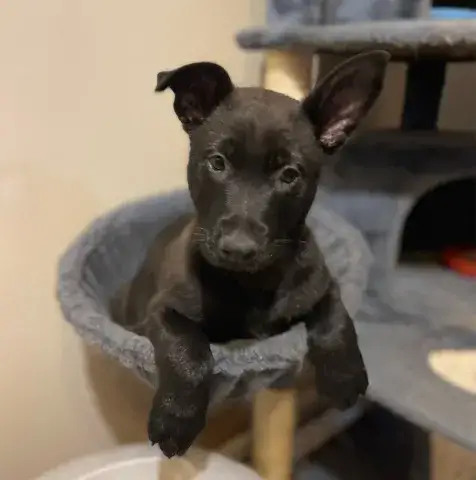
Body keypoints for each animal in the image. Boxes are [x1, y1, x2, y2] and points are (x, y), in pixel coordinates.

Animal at [110, 50, 389, 458]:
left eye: (290, 174)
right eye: (218, 162)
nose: (238, 249)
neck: (251, 283)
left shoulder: (319, 283)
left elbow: (335, 317)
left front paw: (345, 375)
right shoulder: (162, 310)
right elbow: (190, 351)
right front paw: (175, 418)